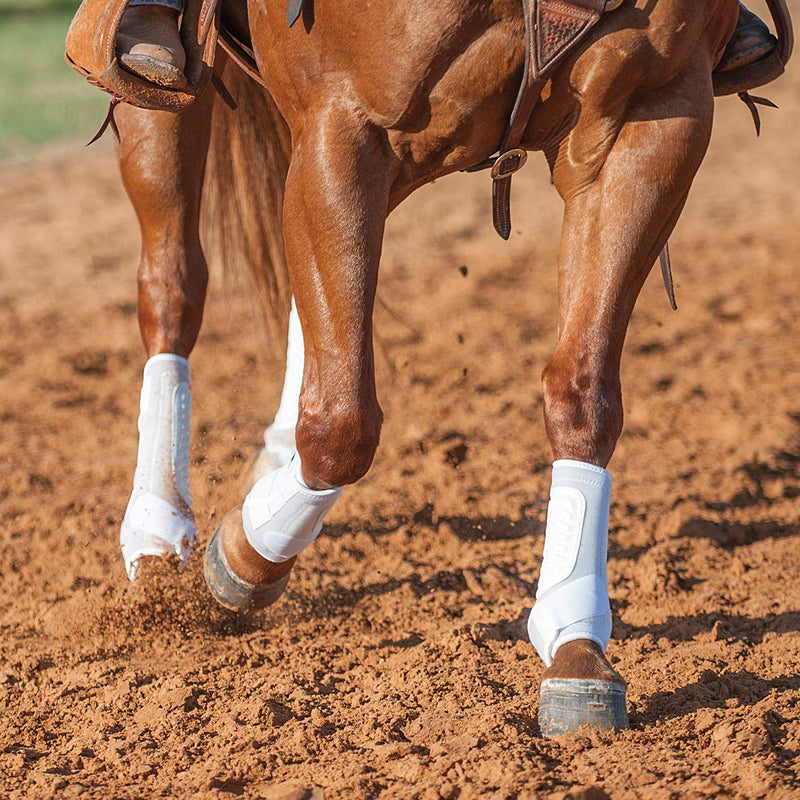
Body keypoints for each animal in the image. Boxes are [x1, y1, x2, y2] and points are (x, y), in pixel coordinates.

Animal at [112, 0, 756, 736]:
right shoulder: (341, 127)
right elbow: (341, 427)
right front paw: (244, 558)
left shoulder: (653, 115)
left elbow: (583, 391)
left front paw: (575, 644)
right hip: (179, 98)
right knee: (173, 280)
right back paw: (157, 524)